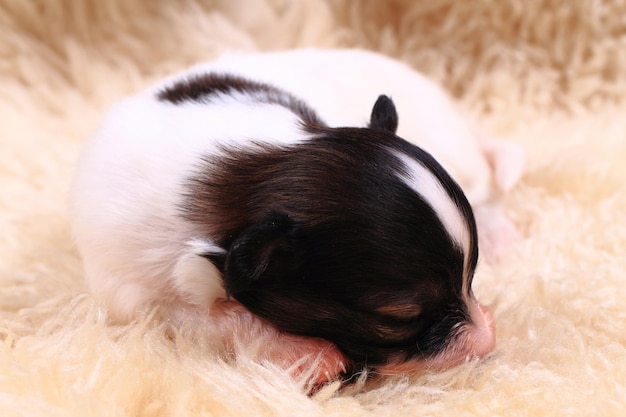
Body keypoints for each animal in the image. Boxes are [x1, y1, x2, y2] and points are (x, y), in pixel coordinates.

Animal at [70, 49, 504, 384]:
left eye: (470, 277)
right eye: (401, 318)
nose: (487, 340)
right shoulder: (133, 291)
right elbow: (203, 316)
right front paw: (307, 352)